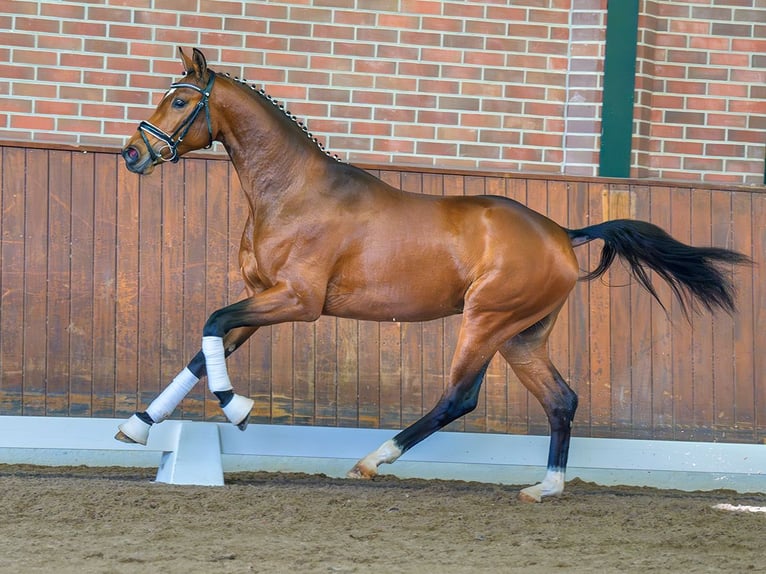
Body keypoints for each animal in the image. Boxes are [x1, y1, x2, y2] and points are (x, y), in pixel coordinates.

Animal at [117, 49, 752, 504]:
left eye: (181, 101)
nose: (132, 154)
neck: (293, 192)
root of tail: (562, 234)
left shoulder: (297, 301)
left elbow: (211, 325)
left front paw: (237, 408)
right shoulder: (262, 297)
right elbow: (206, 347)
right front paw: (139, 427)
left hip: (486, 320)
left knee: (459, 397)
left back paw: (373, 461)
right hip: (522, 336)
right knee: (561, 399)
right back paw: (545, 487)